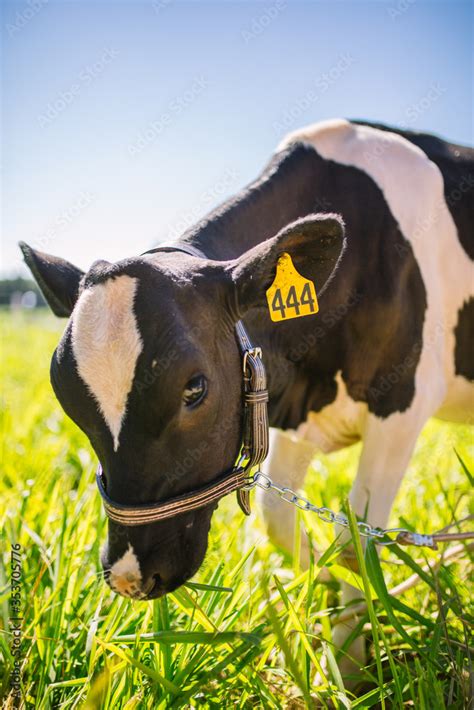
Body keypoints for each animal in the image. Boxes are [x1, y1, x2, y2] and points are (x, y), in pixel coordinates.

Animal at [22, 119, 474, 676]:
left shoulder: (402, 405)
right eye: (67, 399)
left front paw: (350, 665)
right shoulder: (295, 414)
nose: (129, 576)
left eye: (194, 389)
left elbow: (354, 540)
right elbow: (278, 517)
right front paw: (323, 591)